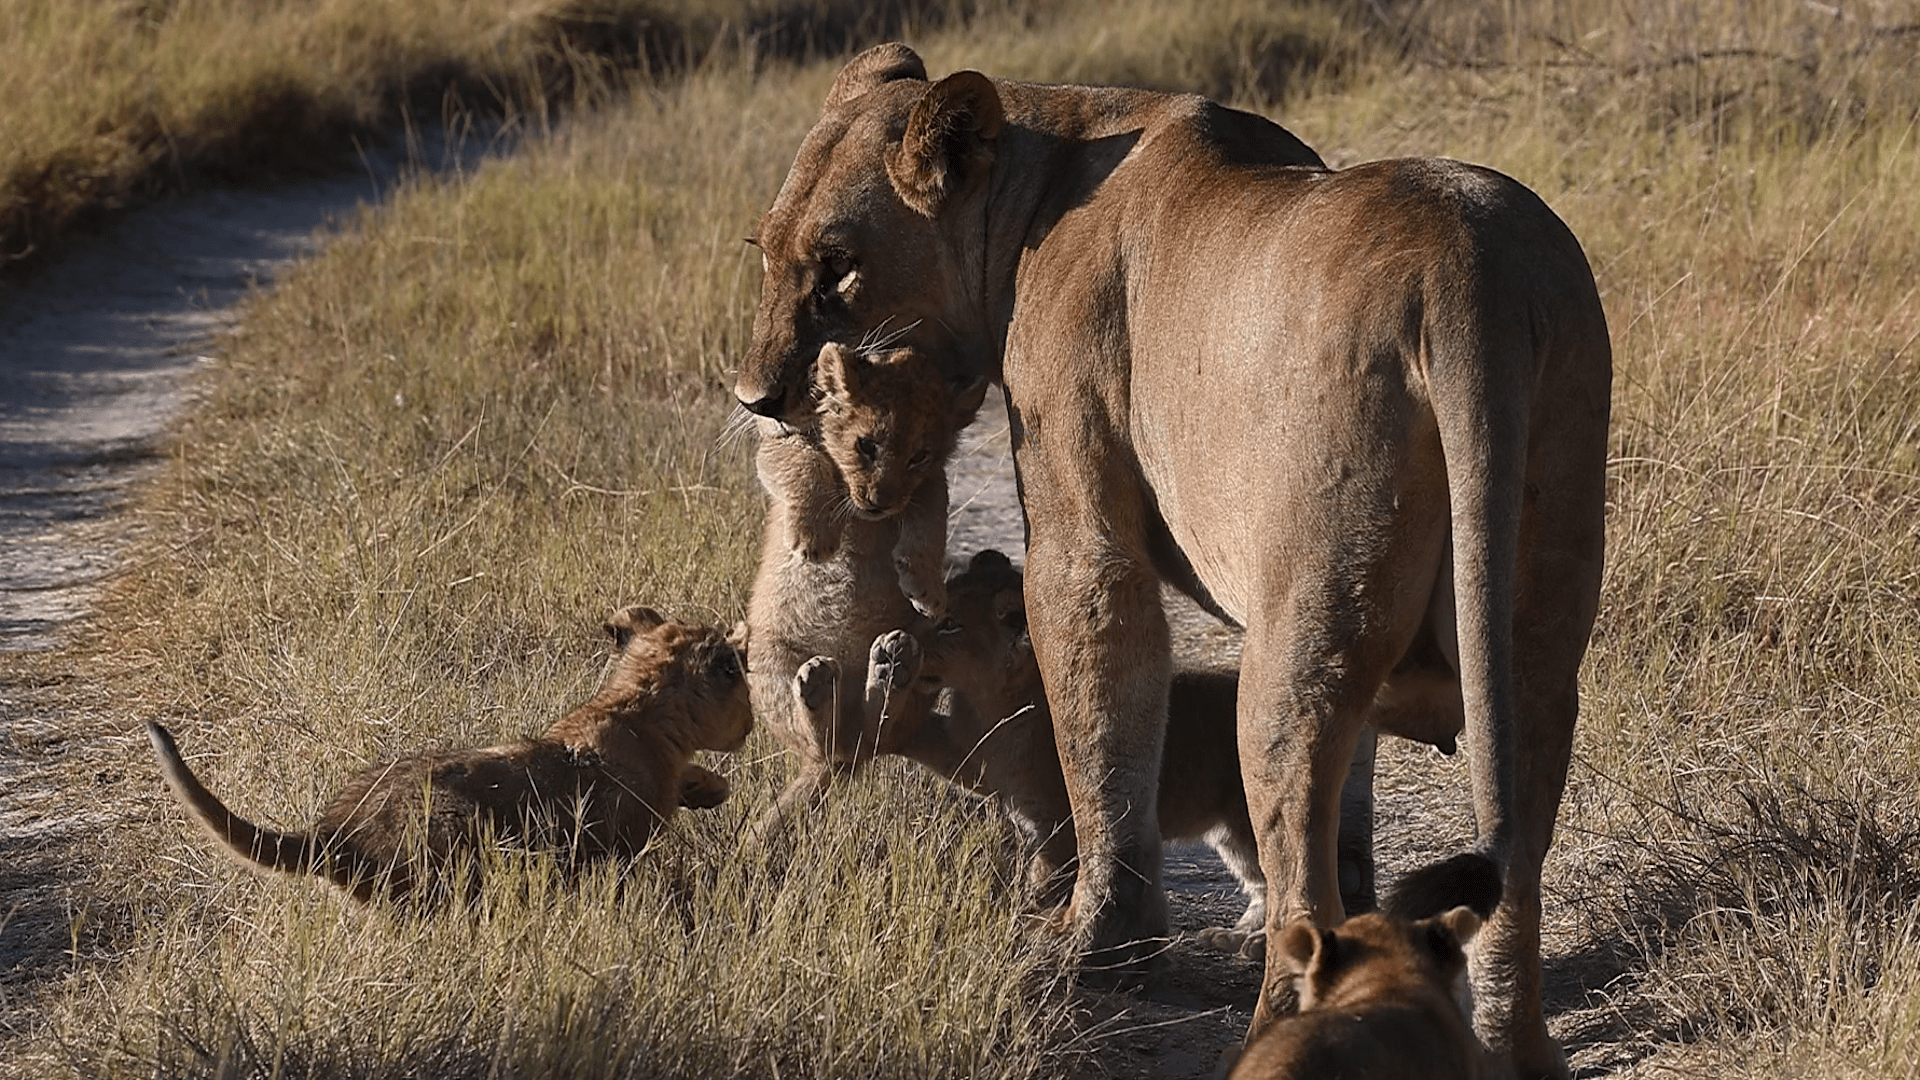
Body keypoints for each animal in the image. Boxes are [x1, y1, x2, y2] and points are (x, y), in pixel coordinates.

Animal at [148, 607, 751, 903]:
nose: (749, 727)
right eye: (737, 676)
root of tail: (333, 833)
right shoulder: (616, 846)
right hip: (449, 849)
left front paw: (713, 788)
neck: (634, 708)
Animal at [746, 341, 983, 835]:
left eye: (918, 456)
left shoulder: (926, 486)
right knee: (824, 740)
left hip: (929, 652)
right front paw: (814, 539)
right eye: (866, 446)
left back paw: (891, 665)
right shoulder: (778, 445)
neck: (861, 516)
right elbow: (805, 463)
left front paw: (926, 588)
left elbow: (932, 509)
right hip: (766, 659)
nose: (880, 501)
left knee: (879, 727)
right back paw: (822, 689)